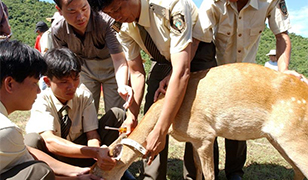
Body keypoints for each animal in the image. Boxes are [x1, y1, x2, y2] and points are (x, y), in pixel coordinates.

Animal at [90, 63, 308, 180]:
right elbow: (197, 171)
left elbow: (210, 175)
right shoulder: (194, 139)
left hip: (295, 137)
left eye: (97, 173)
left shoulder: (205, 135)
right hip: (278, 140)